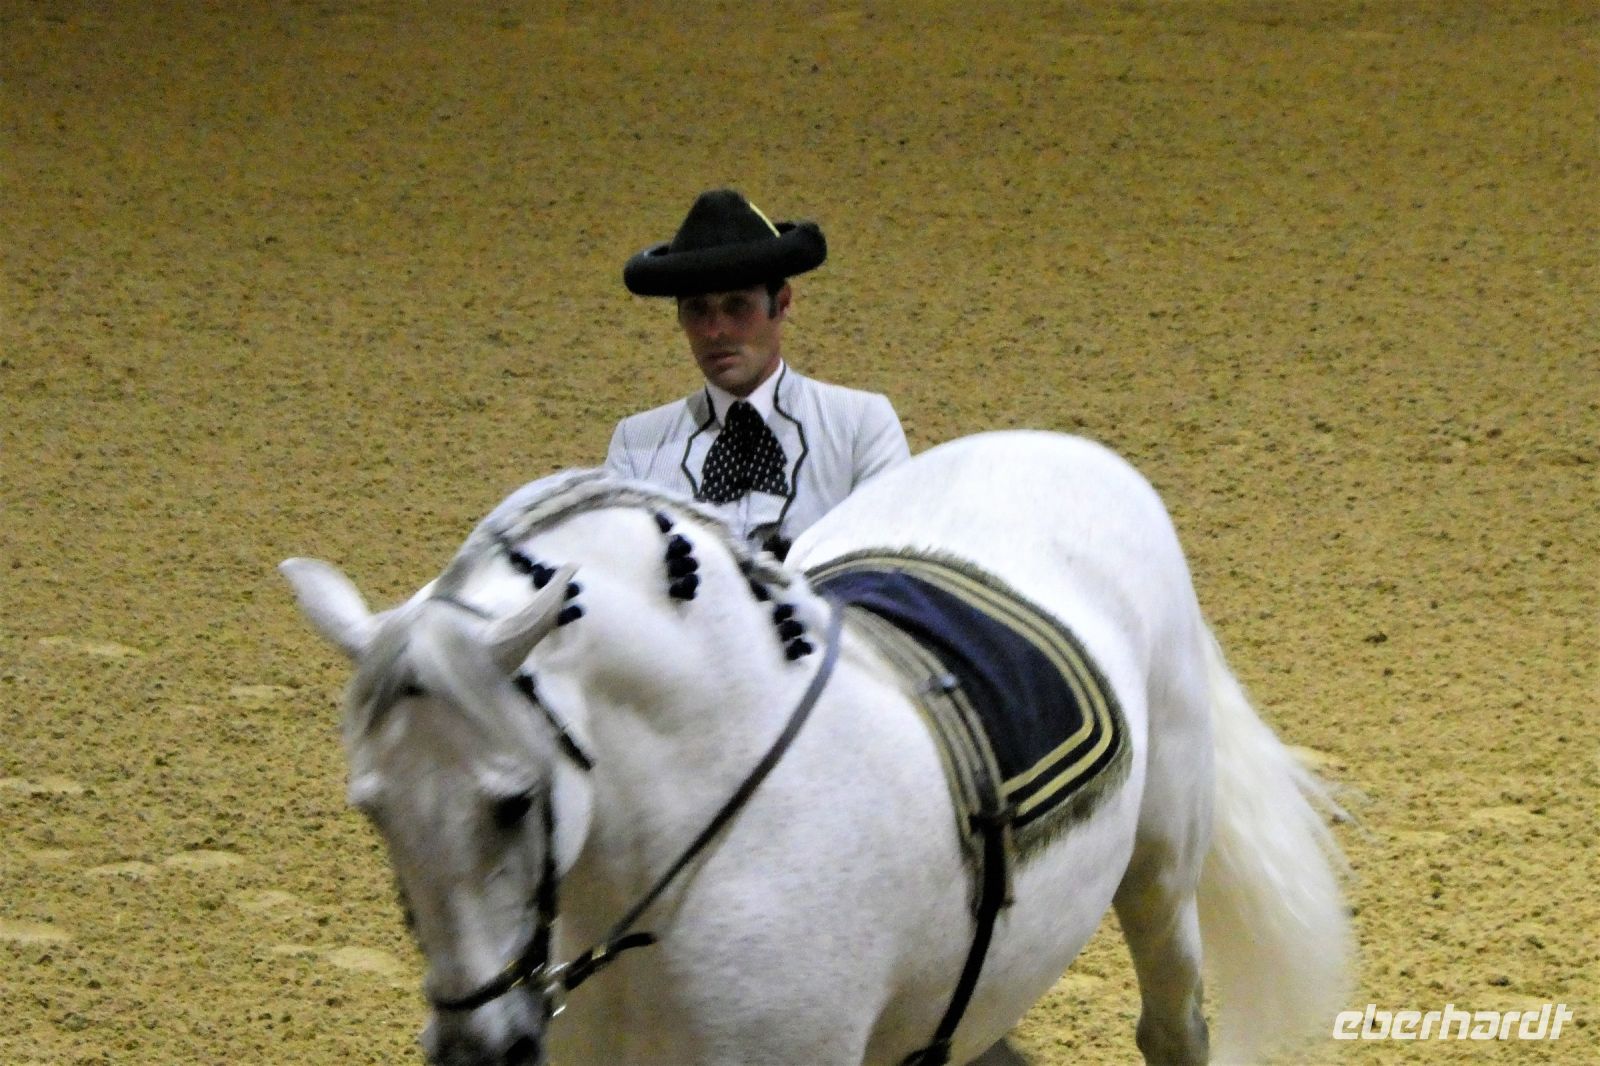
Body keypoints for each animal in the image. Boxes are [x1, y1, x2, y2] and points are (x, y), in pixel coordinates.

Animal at [280, 430, 1351, 1066]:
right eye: (373, 809)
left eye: (512, 800)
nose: (477, 1049)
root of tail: (1071, 448)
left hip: (1161, 871)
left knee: (1173, 1020)